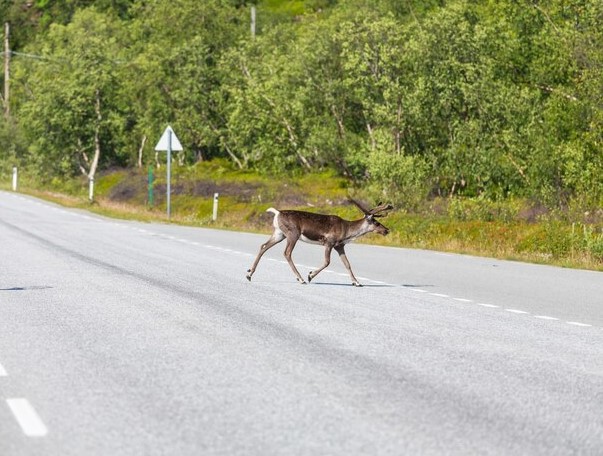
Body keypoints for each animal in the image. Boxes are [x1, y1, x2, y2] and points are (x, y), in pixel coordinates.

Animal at [245, 200, 392, 284]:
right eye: (376, 222)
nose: (387, 230)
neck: (347, 231)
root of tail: (277, 213)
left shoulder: (340, 246)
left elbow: (347, 264)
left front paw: (356, 282)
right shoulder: (329, 242)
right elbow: (327, 262)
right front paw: (310, 275)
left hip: (279, 234)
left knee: (263, 246)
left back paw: (249, 274)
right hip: (293, 234)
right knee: (287, 253)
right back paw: (301, 279)